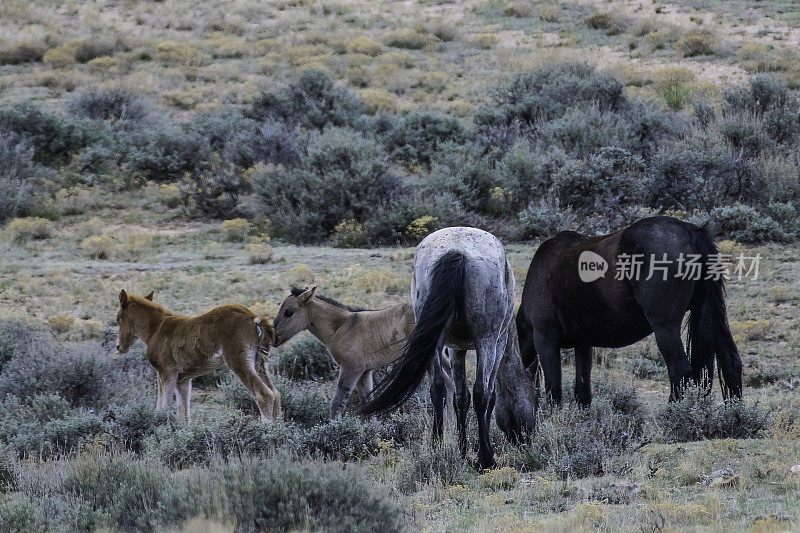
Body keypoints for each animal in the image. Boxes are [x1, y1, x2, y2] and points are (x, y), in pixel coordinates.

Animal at [115, 288, 282, 422]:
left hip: (239, 361)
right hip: (259, 362)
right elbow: (183, 414)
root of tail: (255, 319)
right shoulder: (183, 380)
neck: (156, 329)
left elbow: (162, 407)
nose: (119, 347)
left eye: (117, 318)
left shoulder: (166, 373)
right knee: (276, 393)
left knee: (264, 395)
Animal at [274, 286, 454, 420]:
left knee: (446, 385)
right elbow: (367, 401)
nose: (274, 338)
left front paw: (332, 427)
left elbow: (337, 402)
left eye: (288, 312)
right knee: (451, 383)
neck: (341, 326)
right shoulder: (365, 372)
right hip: (441, 357)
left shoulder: (352, 368)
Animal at [360, 227, 516, 468]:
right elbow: (488, 395)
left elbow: (460, 397)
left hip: (437, 342)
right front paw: (479, 450)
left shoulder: (456, 349)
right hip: (486, 340)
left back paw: (437, 445)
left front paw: (462, 449)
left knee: (438, 388)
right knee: (481, 392)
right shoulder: (497, 345)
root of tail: (457, 251)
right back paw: (486, 458)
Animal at [516, 214, 740, 406]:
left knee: (680, 371)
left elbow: (554, 390)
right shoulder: (583, 344)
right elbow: (582, 391)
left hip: (665, 327)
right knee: (727, 363)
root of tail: (690, 231)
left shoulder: (545, 339)